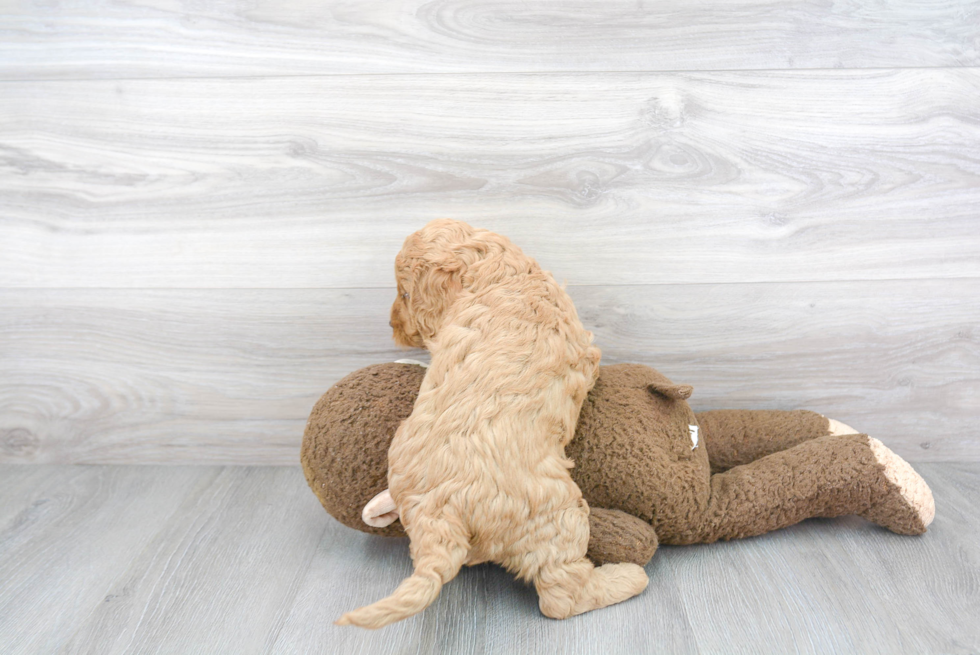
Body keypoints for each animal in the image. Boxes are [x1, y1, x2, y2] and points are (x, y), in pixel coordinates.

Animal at [336, 222, 652, 632]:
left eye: (403, 293)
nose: (393, 327)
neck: (499, 271)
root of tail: (438, 513)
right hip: (557, 514)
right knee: (561, 596)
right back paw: (625, 578)